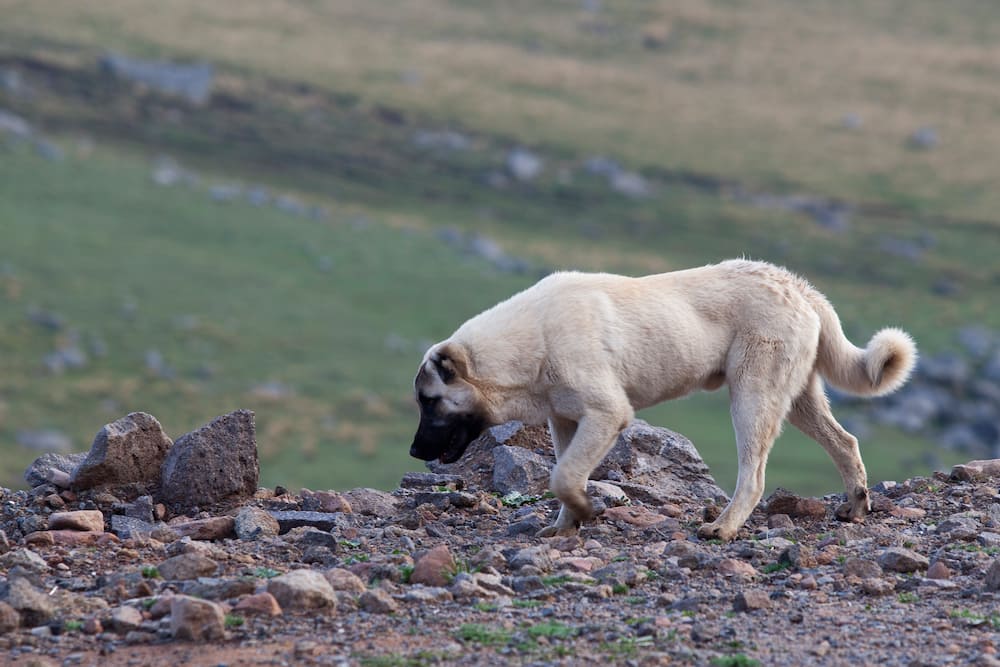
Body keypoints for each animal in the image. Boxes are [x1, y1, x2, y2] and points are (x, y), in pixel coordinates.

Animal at [406, 260, 916, 544]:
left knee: (753, 475)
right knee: (846, 442)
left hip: (753, 397)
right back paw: (856, 505)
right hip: (796, 399)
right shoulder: (565, 421)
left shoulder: (607, 414)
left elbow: (564, 476)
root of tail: (796, 285)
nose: (412, 451)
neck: (531, 341)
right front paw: (567, 526)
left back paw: (724, 528)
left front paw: (586, 512)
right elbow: (563, 475)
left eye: (429, 401)